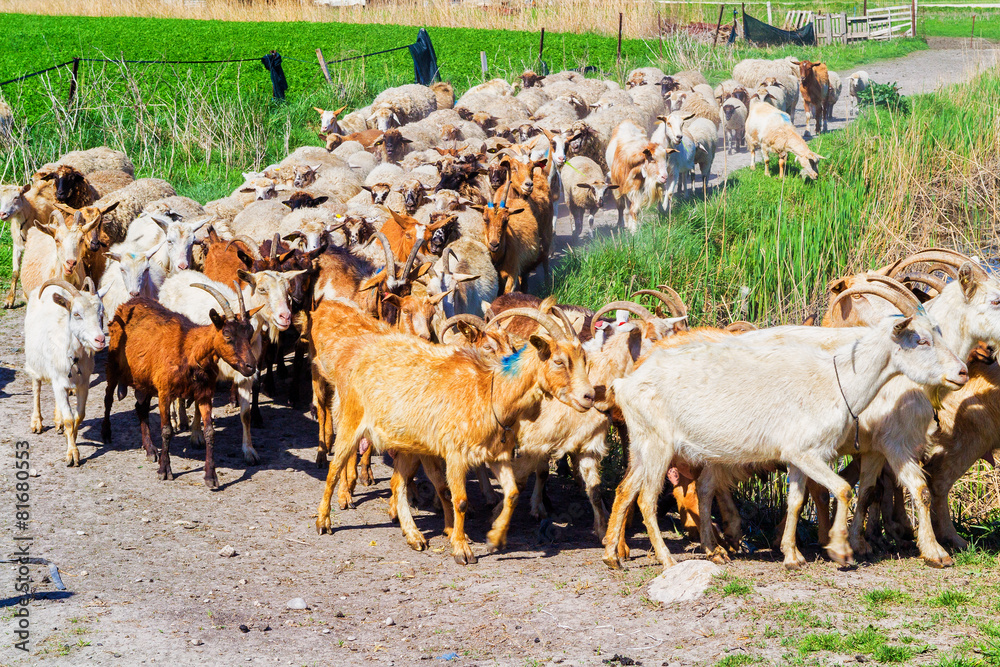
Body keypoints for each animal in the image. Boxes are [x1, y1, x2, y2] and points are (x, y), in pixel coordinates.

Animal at [24, 279, 109, 466]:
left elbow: (79, 415)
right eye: (76, 314)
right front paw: (72, 454)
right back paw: (36, 422)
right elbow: (70, 419)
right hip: (34, 363)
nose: (100, 340)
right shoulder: (59, 382)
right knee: (36, 388)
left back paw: (58, 420)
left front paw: (72, 435)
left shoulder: (83, 383)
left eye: (101, 313)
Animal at [102, 283, 257, 488]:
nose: (251, 366)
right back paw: (106, 433)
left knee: (140, 408)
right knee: (108, 398)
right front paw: (164, 470)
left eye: (250, 333)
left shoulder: (204, 394)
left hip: (144, 379)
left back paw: (150, 449)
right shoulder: (164, 392)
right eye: (227, 335)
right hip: (113, 364)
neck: (189, 351)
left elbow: (210, 432)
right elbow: (166, 430)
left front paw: (211, 476)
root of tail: (127, 303)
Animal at [314, 303, 594, 564]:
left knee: (397, 483)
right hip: (351, 421)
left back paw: (414, 536)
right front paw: (462, 549)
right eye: (559, 361)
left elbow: (513, 493)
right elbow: (459, 500)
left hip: (408, 445)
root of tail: (357, 355)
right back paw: (324, 521)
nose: (589, 396)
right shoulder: (456, 454)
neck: (490, 393)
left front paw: (495, 539)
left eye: (584, 360)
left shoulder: (497, 455)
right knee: (334, 469)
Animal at [602, 285, 967, 571]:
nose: (962, 372)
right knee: (647, 498)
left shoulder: (796, 456)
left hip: (642, 444)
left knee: (628, 489)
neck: (836, 381)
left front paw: (792, 555)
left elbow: (797, 498)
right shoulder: (809, 451)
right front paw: (840, 549)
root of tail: (626, 382)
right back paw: (666, 559)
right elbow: (842, 489)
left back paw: (614, 556)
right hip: (659, 445)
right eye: (920, 340)